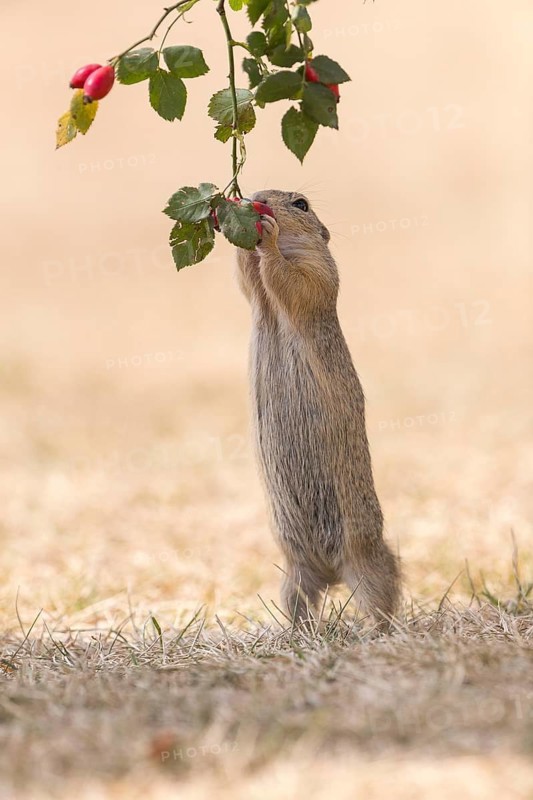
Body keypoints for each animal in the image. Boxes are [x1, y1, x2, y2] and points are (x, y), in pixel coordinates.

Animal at [236, 190, 401, 629]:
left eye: (301, 204)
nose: (256, 198)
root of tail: (332, 574)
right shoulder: (256, 292)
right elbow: (247, 281)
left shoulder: (319, 270)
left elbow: (294, 280)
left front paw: (268, 236)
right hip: (293, 576)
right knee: (300, 602)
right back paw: (299, 632)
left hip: (368, 565)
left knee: (381, 599)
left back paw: (380, 631)